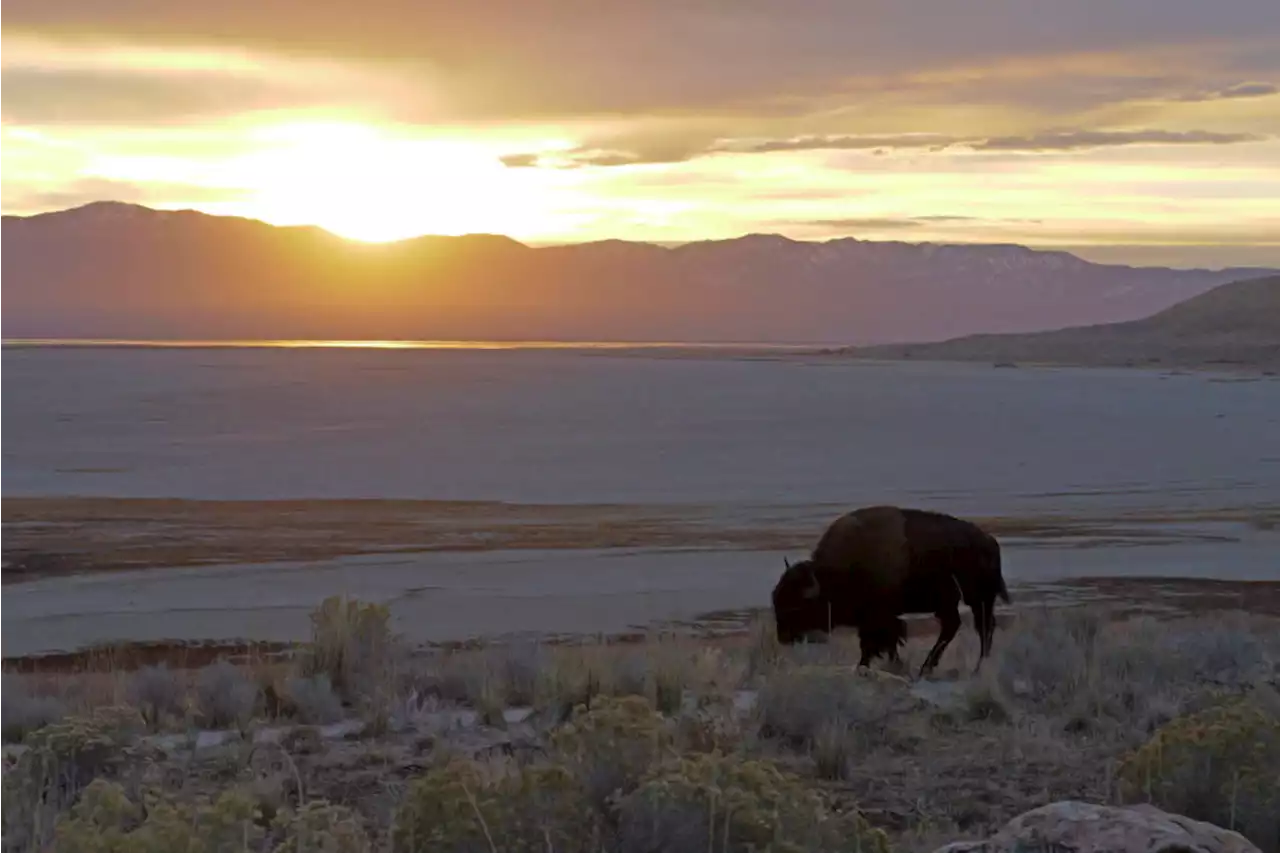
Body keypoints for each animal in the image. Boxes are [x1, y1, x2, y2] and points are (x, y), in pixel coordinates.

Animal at [768, 502, 1008, 676]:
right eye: (776, 599)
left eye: (796, 606)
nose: (783, 637)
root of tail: (988, 540)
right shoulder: (874, 620)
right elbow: (884, 643)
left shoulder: (878, 618)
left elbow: (876, 643)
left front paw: (868, 666)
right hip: (954, 602)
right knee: (957, 626)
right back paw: (930, 668)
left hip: (976, 599)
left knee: (981, 628)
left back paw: (971, 667)